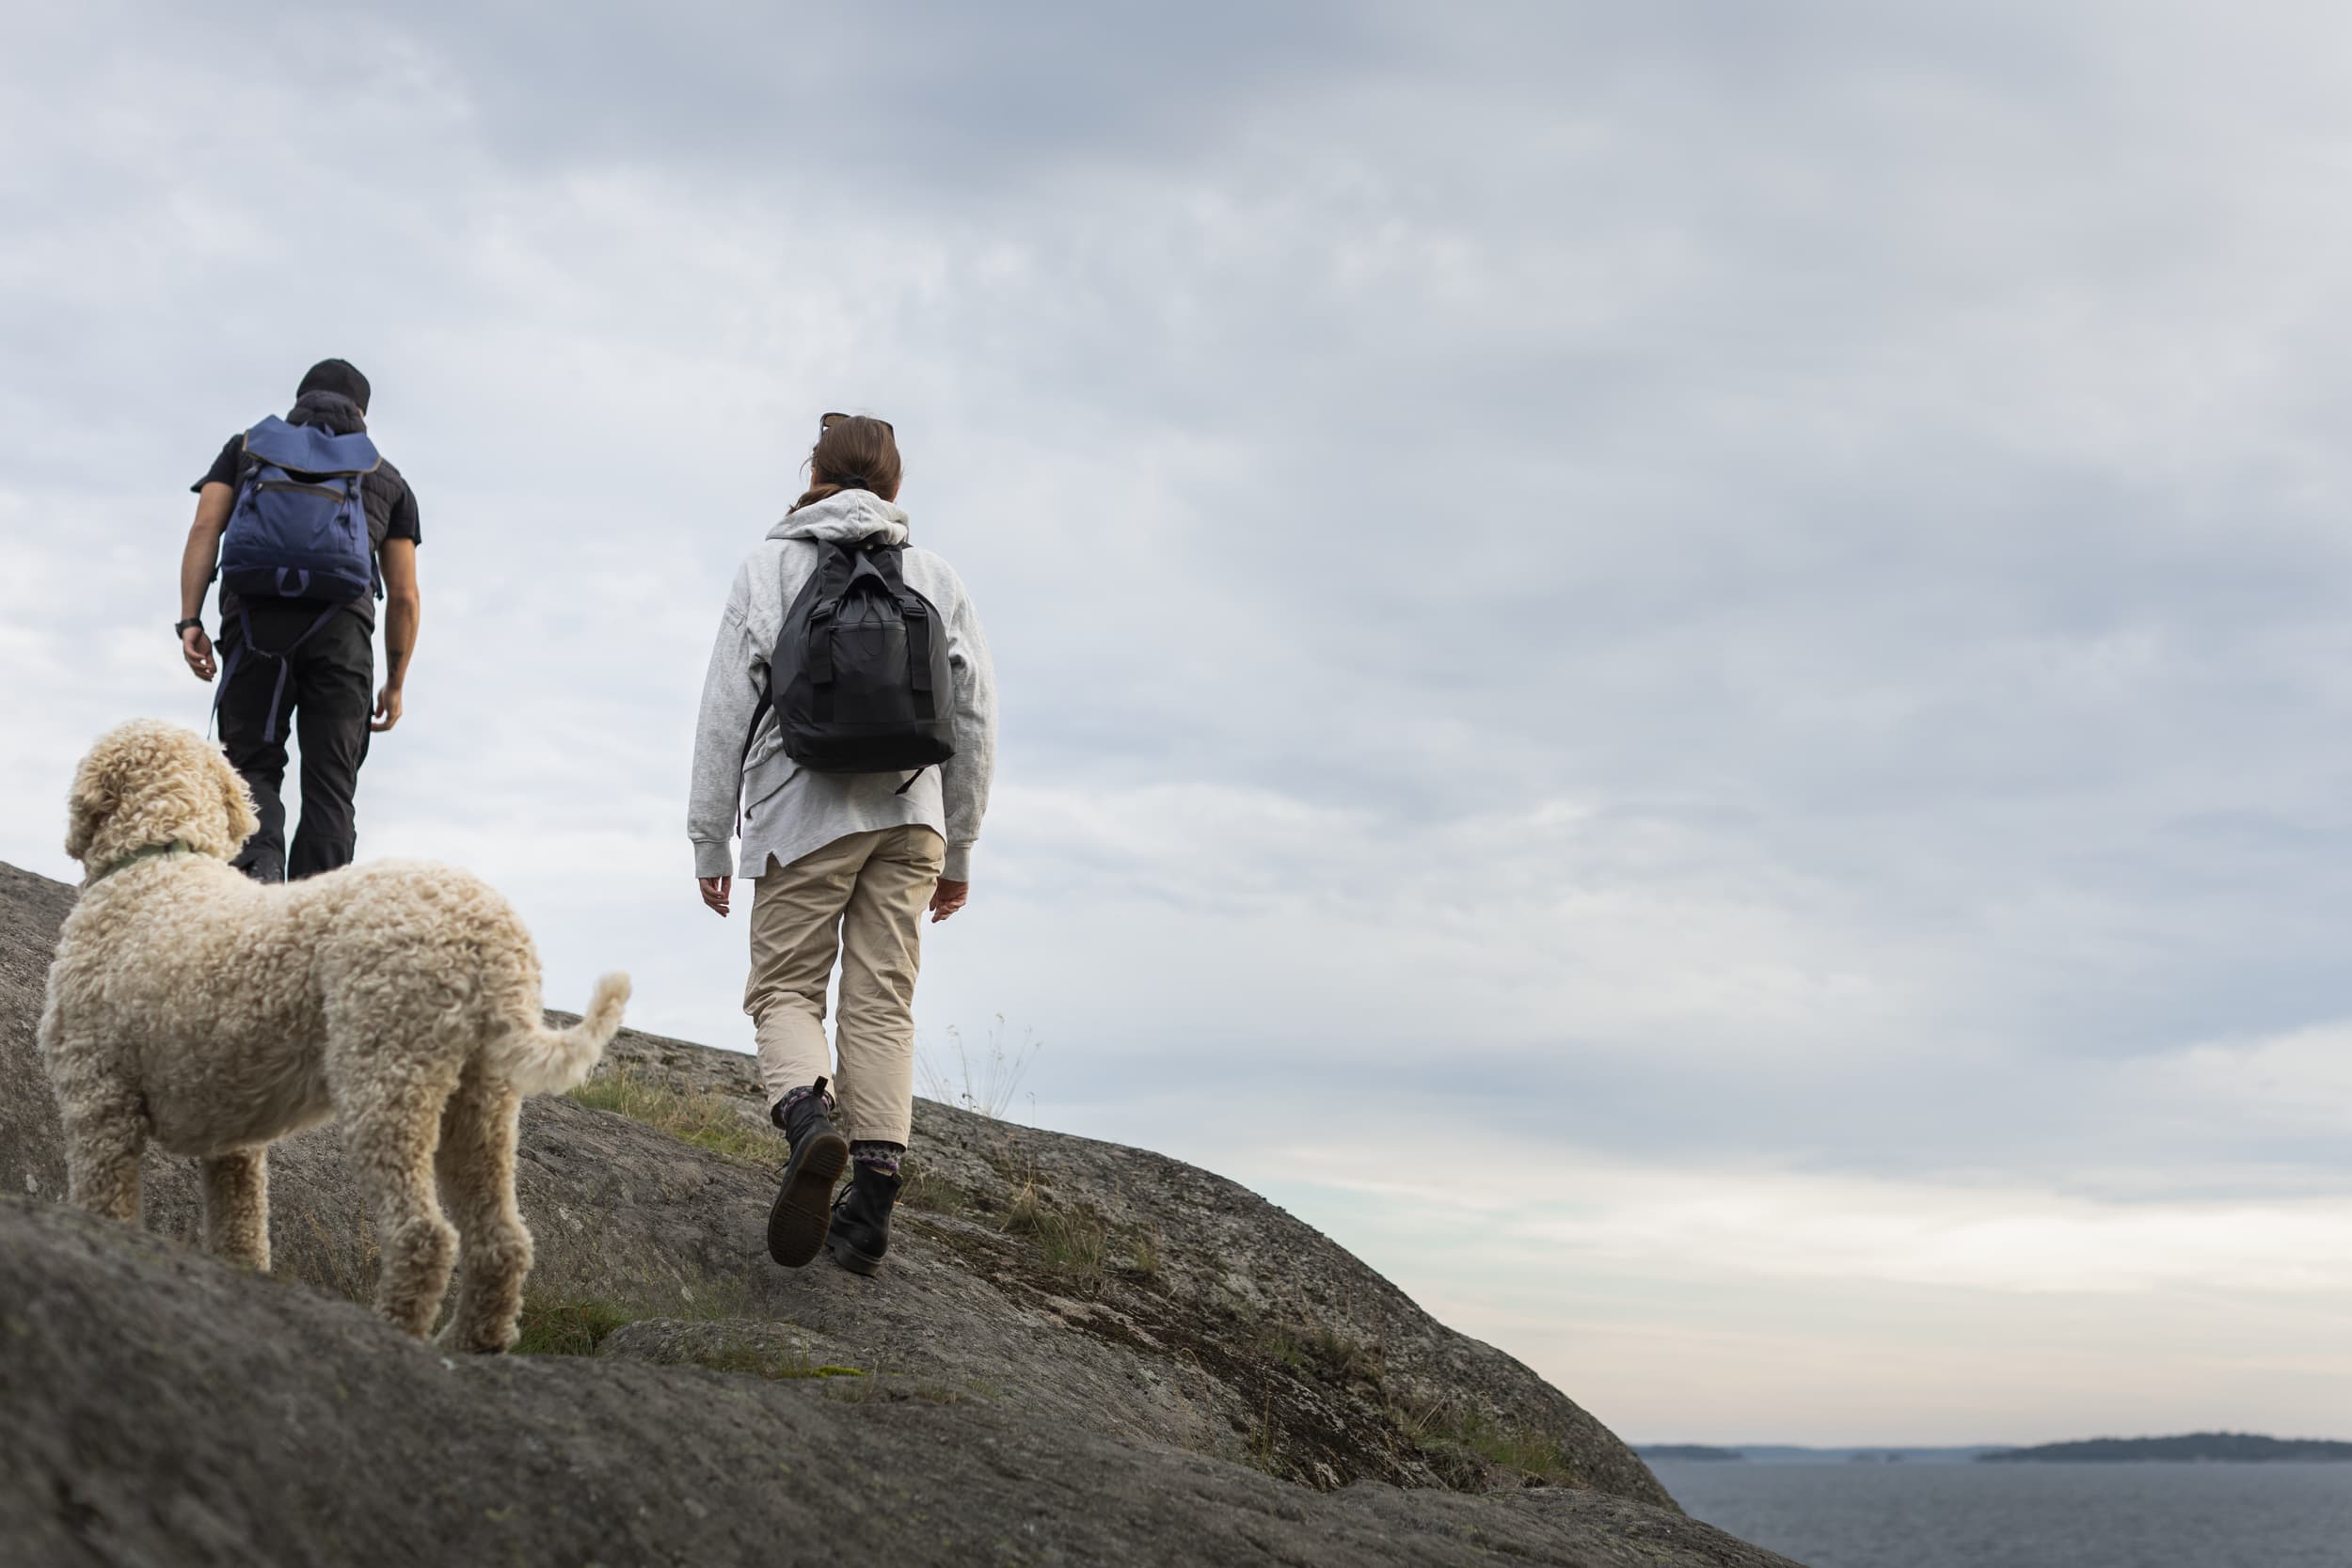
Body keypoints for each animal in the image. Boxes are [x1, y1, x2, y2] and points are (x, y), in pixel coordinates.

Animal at [41, 719, 630, 1354]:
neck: (160, 860)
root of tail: (487, 930)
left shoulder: (99, 1104)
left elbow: (105, 1205)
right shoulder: (232, 1141)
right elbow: (239, 1233)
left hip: (385, 1076)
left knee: (424, 1234)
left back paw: (394, 1333)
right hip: (481, 1101)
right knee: (502, 1238)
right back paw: (471, 1344)